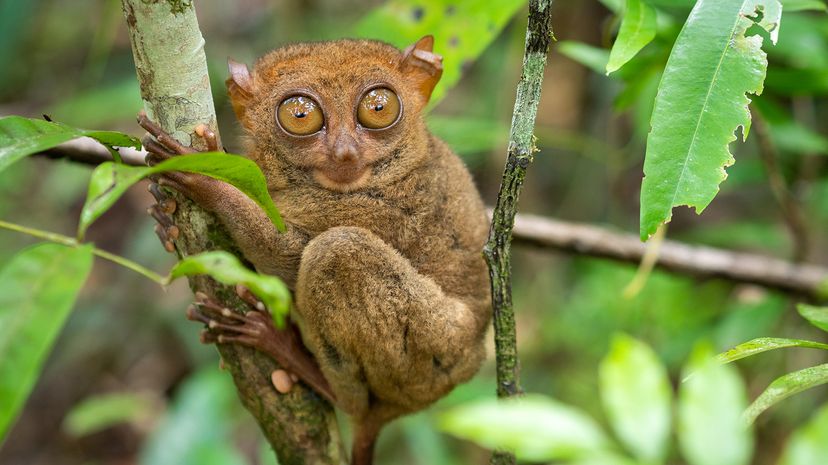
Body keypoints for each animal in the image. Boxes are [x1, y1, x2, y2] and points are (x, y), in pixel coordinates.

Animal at [139, 36, 491, 465]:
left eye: (378, 108)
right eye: (300, 115)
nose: (345, 152)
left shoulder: (390, 208)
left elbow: (286, 257)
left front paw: (207, 176)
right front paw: (163, 219)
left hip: (431, 349)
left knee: (336, 251)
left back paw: (291, 355)